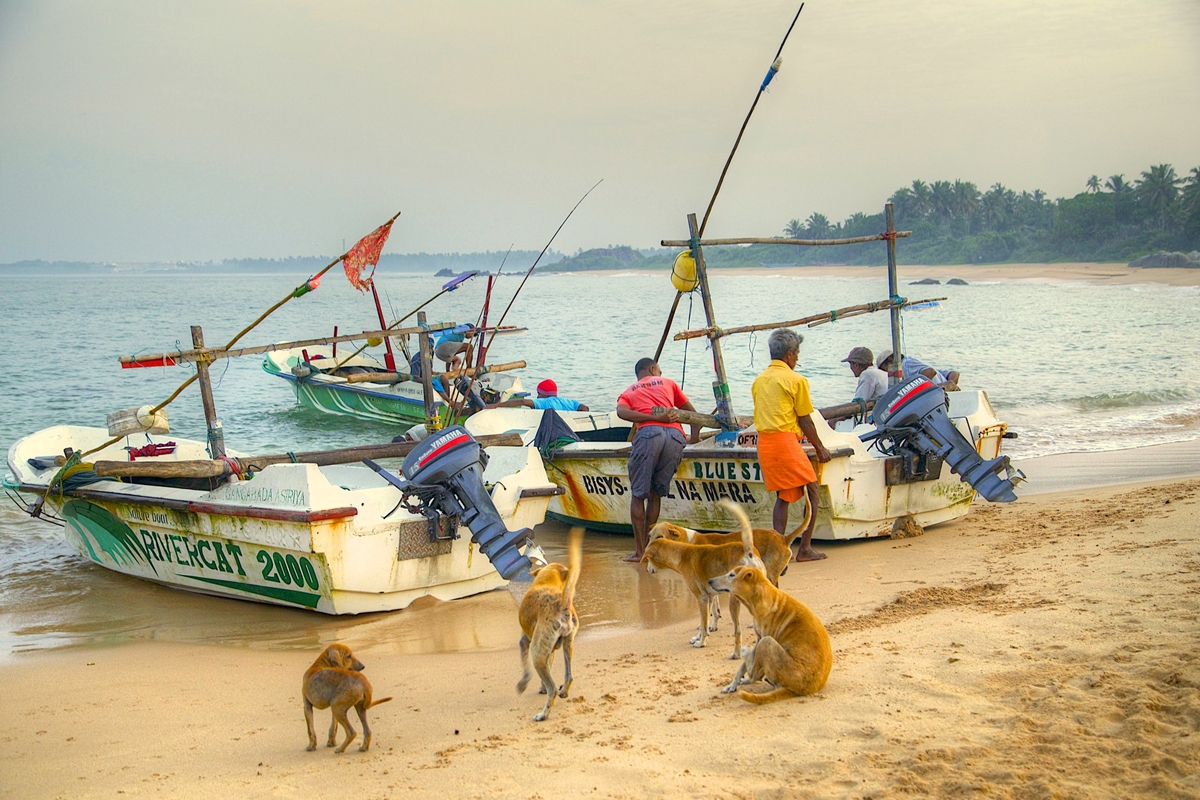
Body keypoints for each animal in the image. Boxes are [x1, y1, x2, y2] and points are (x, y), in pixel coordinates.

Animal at [518, 527, 583, 724]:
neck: (547, 580)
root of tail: (562, 605)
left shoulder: (525, 642)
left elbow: (526, 669)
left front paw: (523, 684)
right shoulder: (551, 650)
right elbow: (549, 667)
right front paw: (541, 687)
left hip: (536, 652)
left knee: (552, 688)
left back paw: (543, 714)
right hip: (568, 644)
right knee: (568, 677)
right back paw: (563, 692)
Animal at [705, 501, 830, 705]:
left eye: (731, 575)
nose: (709, 581)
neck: (759, 600)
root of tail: (798, 689)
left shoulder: (763, 638)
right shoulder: (758, 637)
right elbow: (741, 667)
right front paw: (733, 682)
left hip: (769, 643)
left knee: (756, 674)